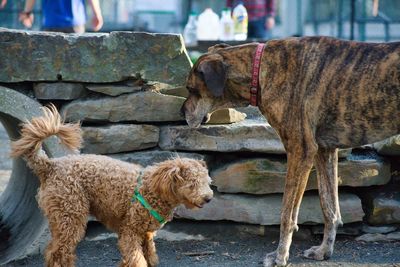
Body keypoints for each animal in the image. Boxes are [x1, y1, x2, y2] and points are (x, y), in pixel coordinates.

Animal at [181, 36, 400, 267]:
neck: (260, 69)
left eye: (191, 89)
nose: (181, 111)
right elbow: (329, 206)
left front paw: (280, 255)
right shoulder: (324, 151)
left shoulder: (300, 150)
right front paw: (324, 251)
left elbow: (287, 213)